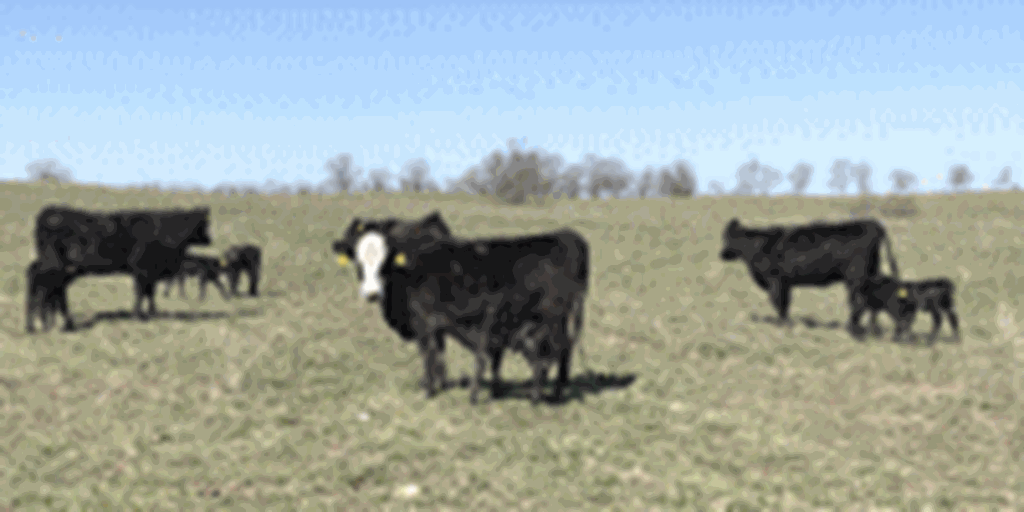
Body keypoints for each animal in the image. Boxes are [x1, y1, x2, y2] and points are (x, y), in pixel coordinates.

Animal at [32, 205, 214, 331]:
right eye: (205, 224)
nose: (210, 240)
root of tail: (49, 211)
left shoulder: (149, 273)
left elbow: (149, 293)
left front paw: (150, 314)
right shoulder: (143, 270)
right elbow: (142, 293)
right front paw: (139, 315)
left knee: (55, 293)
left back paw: (61, 323)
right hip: (53, 267)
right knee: (45, 290)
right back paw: (46, 324)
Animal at [332, 212, 589, 400]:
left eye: (386, 261)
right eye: (357, 260)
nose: (372, 293)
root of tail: (568, 236)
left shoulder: (423, 322)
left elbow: (428, 353)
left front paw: (429, 389)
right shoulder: (437, 323)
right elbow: (439, 352)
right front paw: (441, 384)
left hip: (552, 318)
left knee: (562, 348)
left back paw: (557, 390)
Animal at [719, 217, 900, 335]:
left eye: (728, 238)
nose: (721, 254)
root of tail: (872, 224)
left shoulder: (775, 280)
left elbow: (779, 303)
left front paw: (783, 325)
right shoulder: (785, 283)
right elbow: (785, 304)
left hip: (855, 276)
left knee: (858, 302)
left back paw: (852, 329)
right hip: (870, 274)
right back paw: (870, 329)